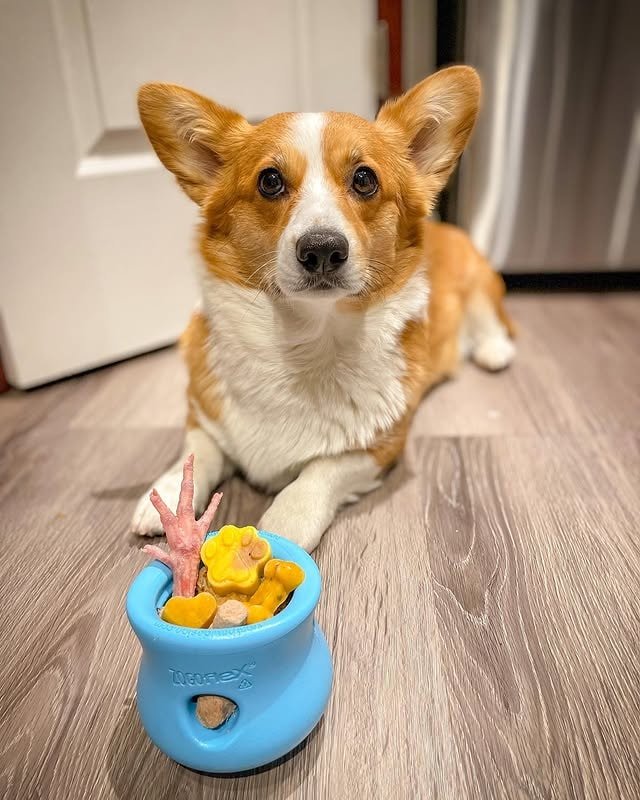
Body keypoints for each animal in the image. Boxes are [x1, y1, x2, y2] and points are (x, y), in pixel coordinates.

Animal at [131, 67, 516, 552]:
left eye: (365, 179)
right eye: (270, 181)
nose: (322, 250)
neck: (305, 341)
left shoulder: (379, 446)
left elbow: (319, 472)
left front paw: (282, 524)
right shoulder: (201, 414)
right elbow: (196, 453)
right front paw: (162, 495)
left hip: (482, 284)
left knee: (494, 324)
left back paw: (493, 351)